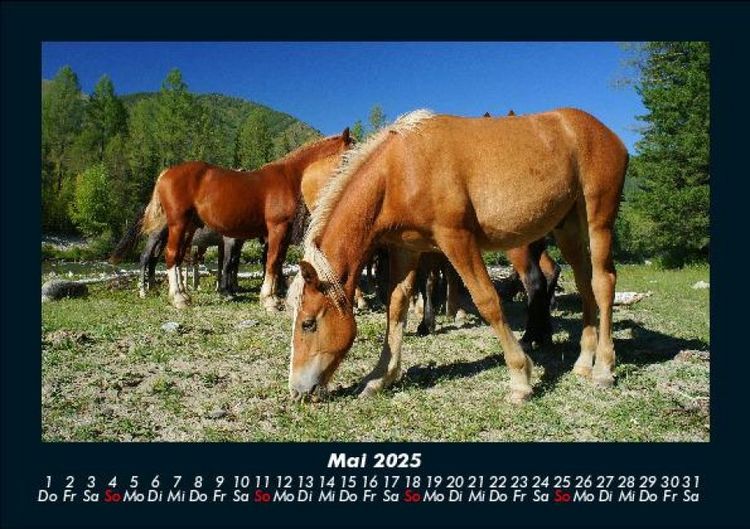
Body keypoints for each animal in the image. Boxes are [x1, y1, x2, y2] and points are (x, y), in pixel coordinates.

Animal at [140, 129, 353, 309]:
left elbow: (278, 262)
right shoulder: (277, 228)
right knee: (170, 254)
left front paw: (274, 297)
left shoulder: (282, 233)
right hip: (178, 224)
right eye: (350, 152)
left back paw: (183, 295)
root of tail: (166, 173)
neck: (288, 176)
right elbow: (272, 261)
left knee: (177, 256)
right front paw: (269, 300)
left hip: (189, 227)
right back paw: (177, 298)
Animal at [287, 108, 627, 404]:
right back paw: (583, 362)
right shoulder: (406, 249)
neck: (400, 168)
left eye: (308, 324)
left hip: (598, 221)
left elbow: (487, 301)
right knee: (585, 285)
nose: (297, 390)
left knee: (603, 283)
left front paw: (520, 379)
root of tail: (606, 133)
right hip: (569, 229)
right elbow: (396, 307)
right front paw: (381, 376)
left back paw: (603, 368)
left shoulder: (457, 240)